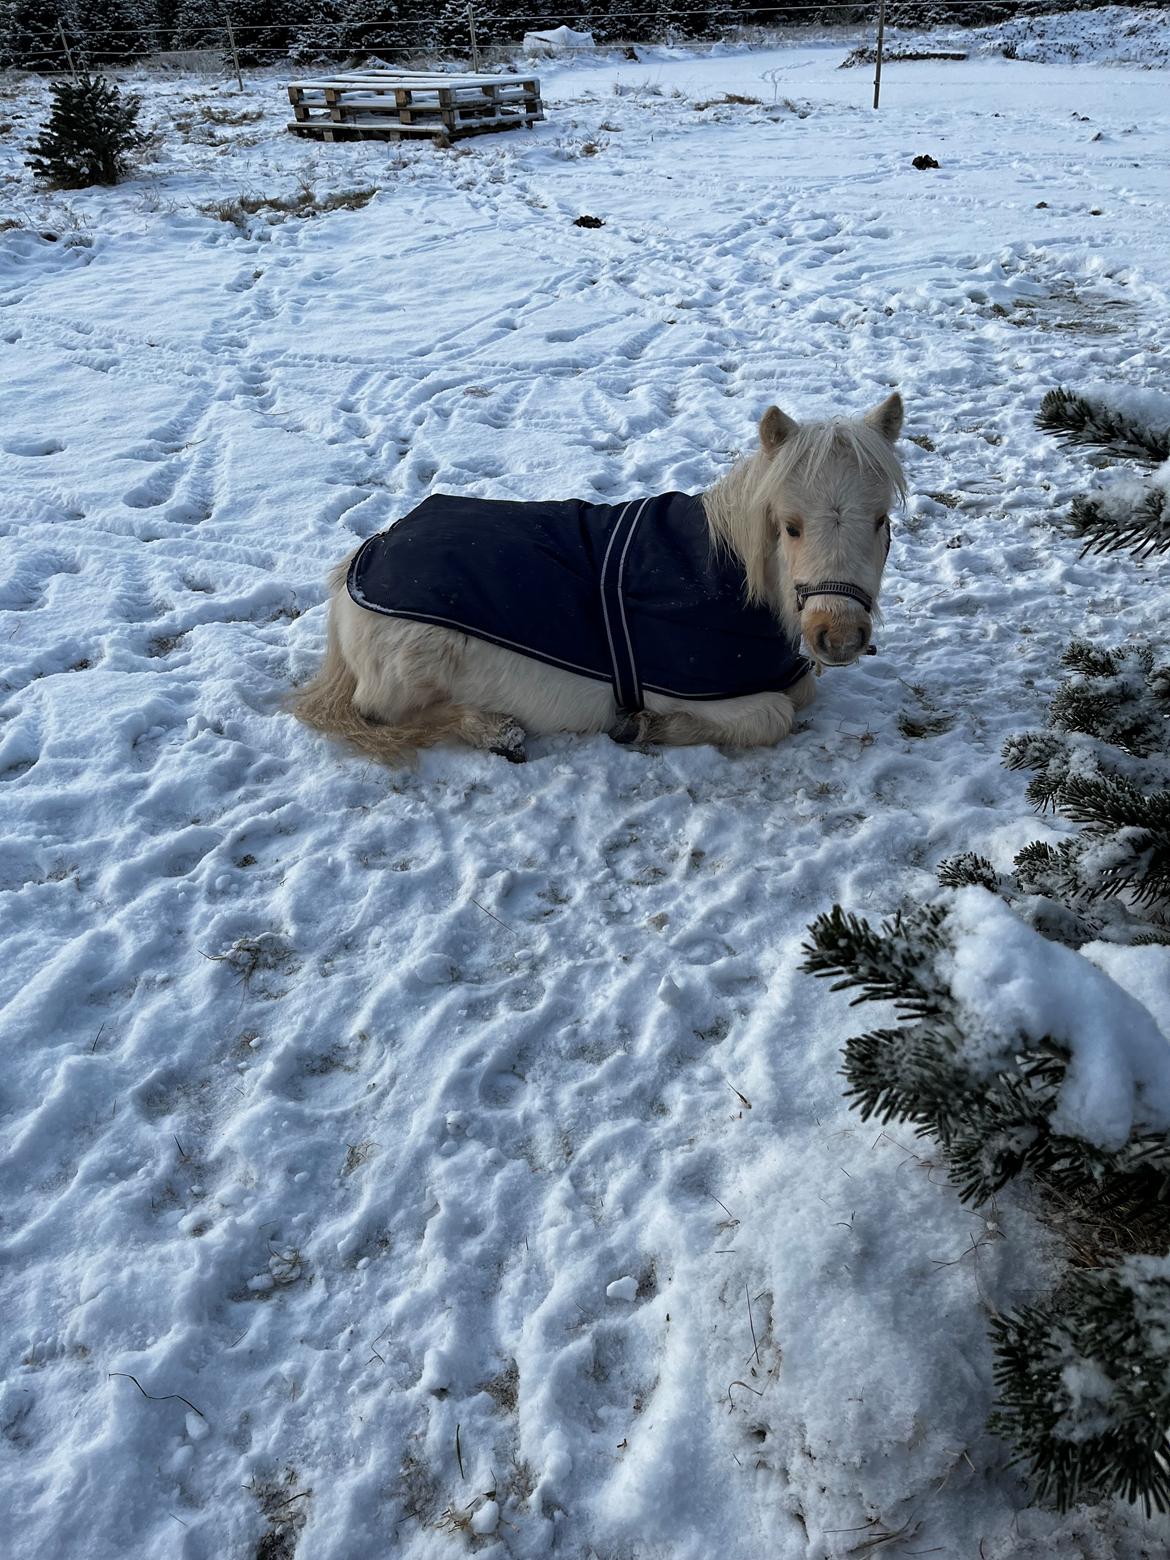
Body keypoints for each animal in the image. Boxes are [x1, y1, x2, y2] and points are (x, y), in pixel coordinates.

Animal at [291, 393, 904, 764]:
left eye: (881, 520)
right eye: (791, 526)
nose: (838, 637)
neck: (727, 574)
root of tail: (360, 564)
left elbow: (801, 688)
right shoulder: (689, 687)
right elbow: (776, 712)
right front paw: (643, 728)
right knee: (388, 715)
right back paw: (498, 731)